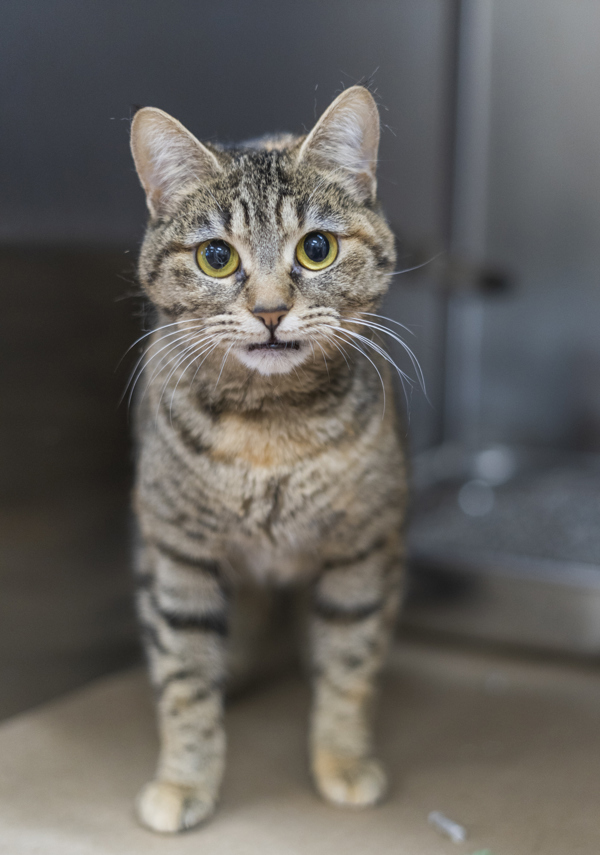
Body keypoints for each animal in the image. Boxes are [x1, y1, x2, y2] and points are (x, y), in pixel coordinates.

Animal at [126, 87, 408, 836]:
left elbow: (349, 662)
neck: (269, 429)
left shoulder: (361, 549)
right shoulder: (178, 555)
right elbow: (184, 679)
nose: (272, 310)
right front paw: (184, 779)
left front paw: (342, 758)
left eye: (317, 248)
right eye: (216, 257)